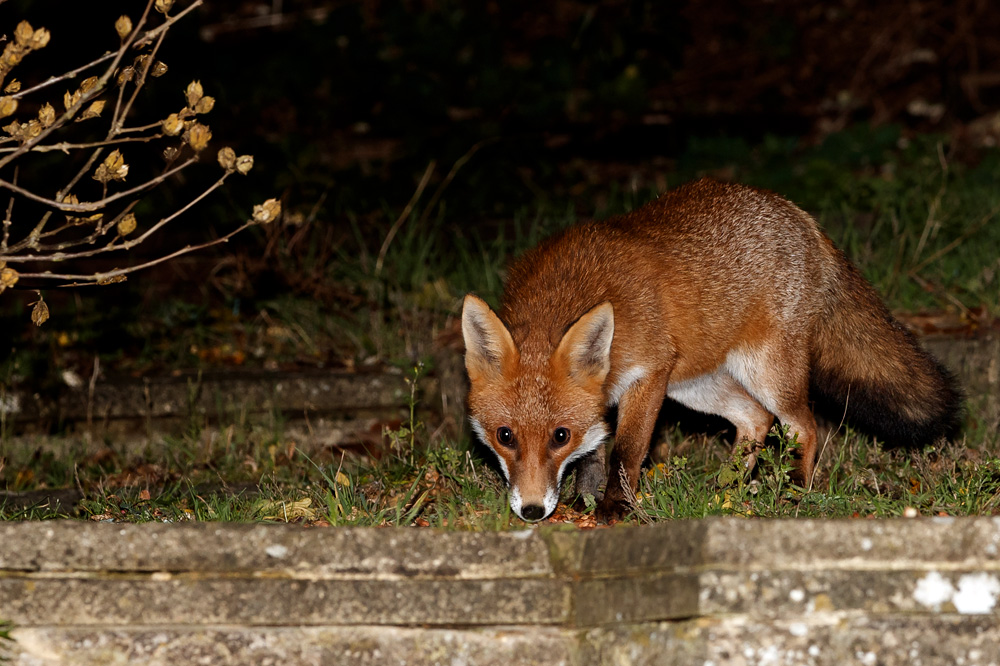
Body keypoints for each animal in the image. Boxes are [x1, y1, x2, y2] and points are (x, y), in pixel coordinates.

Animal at [462, 178, 962, 523]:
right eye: (505, 436)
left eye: (559, 435)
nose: (530, 511)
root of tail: (800, 216)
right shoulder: (608, 395)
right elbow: (595, 452)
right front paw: (585, 501)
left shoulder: (649, 373)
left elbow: (626, 452)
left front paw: (615, 508)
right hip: (696, 386)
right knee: (755, 420)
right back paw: (730, 490)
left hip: (764, 371)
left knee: (804, 425)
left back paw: (793, 490)